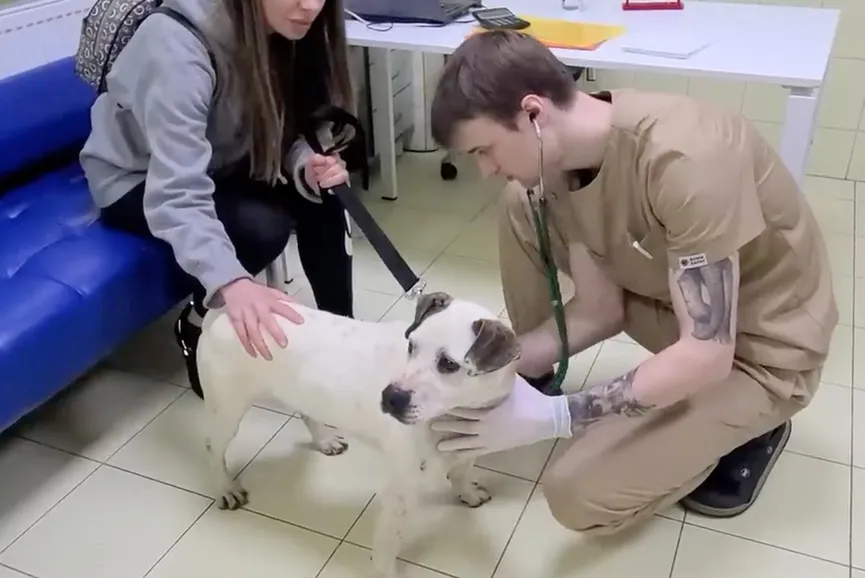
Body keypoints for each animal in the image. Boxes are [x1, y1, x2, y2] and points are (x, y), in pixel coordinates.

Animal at [196, 292, 516, 576]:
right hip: (227, 410)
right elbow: (387, 546)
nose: (389, 397)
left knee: (306, 412)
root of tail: (223, 311)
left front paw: (468, 493)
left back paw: (324, 439)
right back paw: (225, 487)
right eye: (411, 345)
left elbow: (461, 472)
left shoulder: (468, 448)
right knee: (211, 448)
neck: (457, 412)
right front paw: (388, 573)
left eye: (449, 364)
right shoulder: (399, 494)